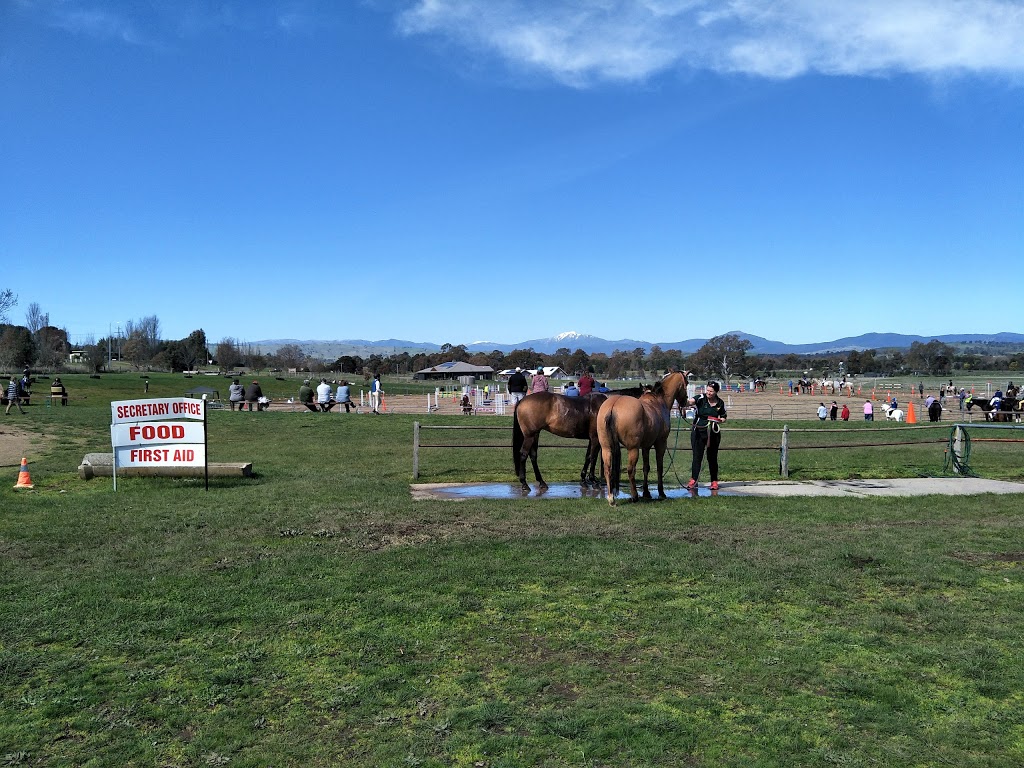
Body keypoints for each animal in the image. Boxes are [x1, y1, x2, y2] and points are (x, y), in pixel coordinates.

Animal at [598, 370, 688, 507]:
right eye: (686, 383)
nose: (686, 402)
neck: (658, 401)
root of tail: (613, 406)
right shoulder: (660, 443)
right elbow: (659, 467)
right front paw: (661, 493)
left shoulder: (646, 446)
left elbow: (646, 467)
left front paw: (646, 492)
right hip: (633, 449)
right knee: (631, 470)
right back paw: (634, 496)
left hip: (606, 448)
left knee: (608, 469)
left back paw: (611, 498)